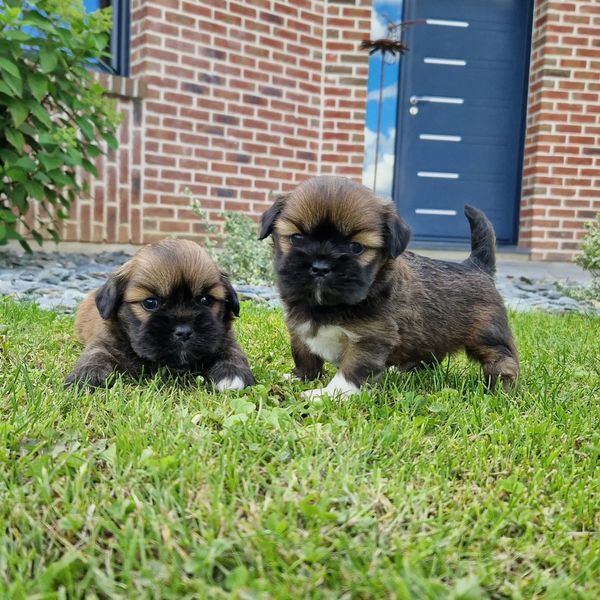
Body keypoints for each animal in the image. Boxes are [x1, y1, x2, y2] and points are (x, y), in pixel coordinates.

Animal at [66, 239, 255, 394]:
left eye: (205, 300)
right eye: (150, 303)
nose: (184, 332)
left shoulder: (224, 338)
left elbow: (233, 352)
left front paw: (232, 373)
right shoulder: (104, 341)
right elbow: (95, 354)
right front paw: (86, 376)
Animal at [260, 175, 516, 398]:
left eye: (356, 247)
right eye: (297, 238)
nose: (321, 266)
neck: (327, 305)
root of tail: (477, 266)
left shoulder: (370, 339)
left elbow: (350, 371)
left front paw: (326, 395)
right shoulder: (299, 330)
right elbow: (304, 356)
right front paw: (300, 377)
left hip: (487, 336)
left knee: (503, 360)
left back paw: (501, 390)